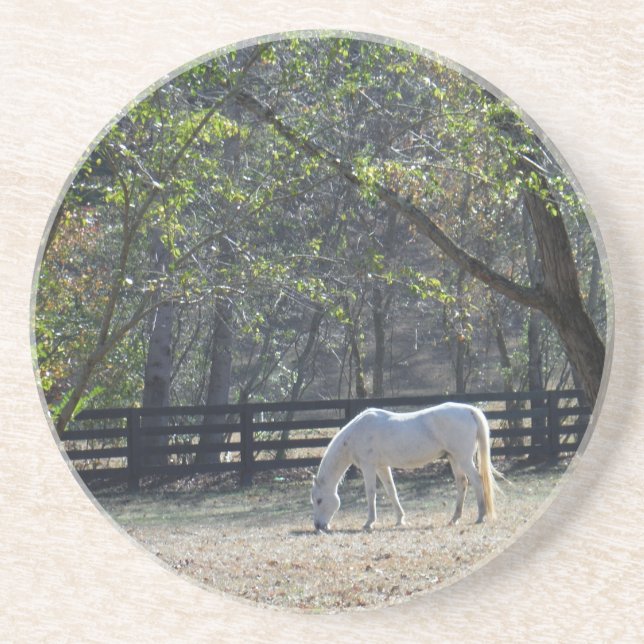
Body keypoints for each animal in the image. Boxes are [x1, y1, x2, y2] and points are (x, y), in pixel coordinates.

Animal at [311, 402, 500, 532]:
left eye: (319, 500)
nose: (318, 526)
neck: (357, 432)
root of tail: (469, 410)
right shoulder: (382, 467)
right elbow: (391, 491)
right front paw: (400, 519)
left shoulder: (368, 467)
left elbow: (370, 494)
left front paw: (369, 523)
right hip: (454, 458)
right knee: (462, 483)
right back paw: (454, 518)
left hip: (463, 459)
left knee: (477, 481)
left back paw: (480, 516)